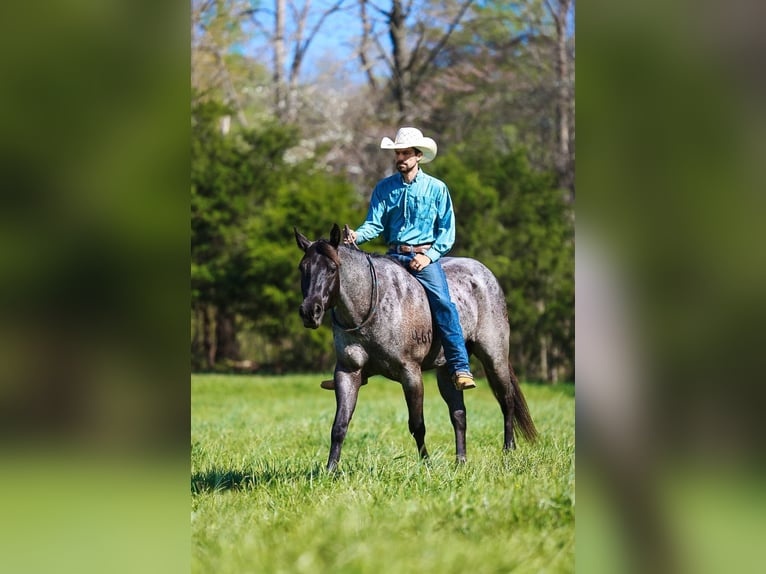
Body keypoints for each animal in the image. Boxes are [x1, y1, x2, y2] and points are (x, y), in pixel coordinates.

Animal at [295, 224, 537, 471]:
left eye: (332, 268)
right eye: (302, 267)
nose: (310, 311)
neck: (372, 307)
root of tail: (485, 274)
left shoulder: (410, 373)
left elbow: (417, 424)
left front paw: (426, 465)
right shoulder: (347, 372)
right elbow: (339, 425)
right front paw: (330, 470)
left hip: (494, 356)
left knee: (506, 400)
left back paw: (508, 451)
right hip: (447, 370)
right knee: (459, 414)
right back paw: (460, 461)